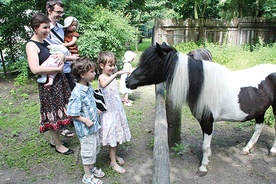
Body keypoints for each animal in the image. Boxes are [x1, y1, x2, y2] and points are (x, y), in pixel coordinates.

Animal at [126, 42, 276, 176]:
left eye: (152, 63)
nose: (128, 81)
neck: (201, 85)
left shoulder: (208, 121)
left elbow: (205, 145)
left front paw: (203, 167)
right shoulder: (203, 121)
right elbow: (205, 141)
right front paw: (208, 157)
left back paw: (272, 151)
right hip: (260, 109)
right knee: (259, 127)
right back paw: (247, 148)